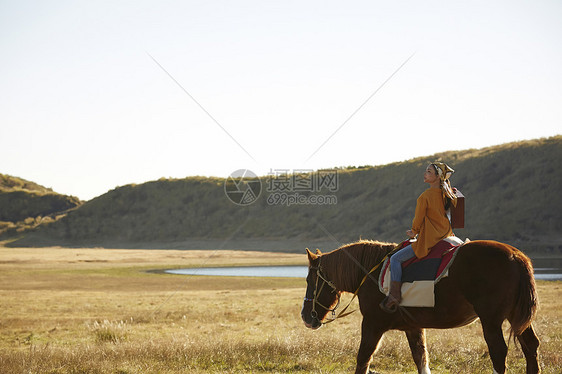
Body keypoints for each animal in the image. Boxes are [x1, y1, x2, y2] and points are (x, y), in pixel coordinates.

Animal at [300, 240, 536, 374]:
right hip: (516, 318)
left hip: (491, 321)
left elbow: (363, 359)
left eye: (310, 280)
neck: (369, 272)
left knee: (499, 352)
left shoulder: (372, 325)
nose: (305, 316)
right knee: (531, 346)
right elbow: (421, 359)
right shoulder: (413, 328)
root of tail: (516, 256)